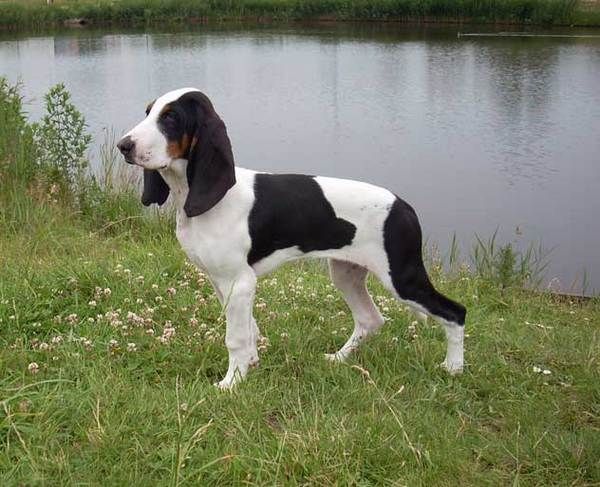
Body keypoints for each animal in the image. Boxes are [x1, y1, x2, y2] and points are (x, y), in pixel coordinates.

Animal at [117, 88, 466, 389]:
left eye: (171, 118)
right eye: (148, 112)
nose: (124, 145)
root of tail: (403, 205)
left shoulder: (239, 282)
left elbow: (236, 337)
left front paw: (231, 384)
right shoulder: (221, 282)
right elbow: (249, 329)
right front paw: (250, 366)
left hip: (402, 279)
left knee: (455, 311)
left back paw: (453, 368)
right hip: (346, 274)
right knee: (371, 318)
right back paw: (338, 358)